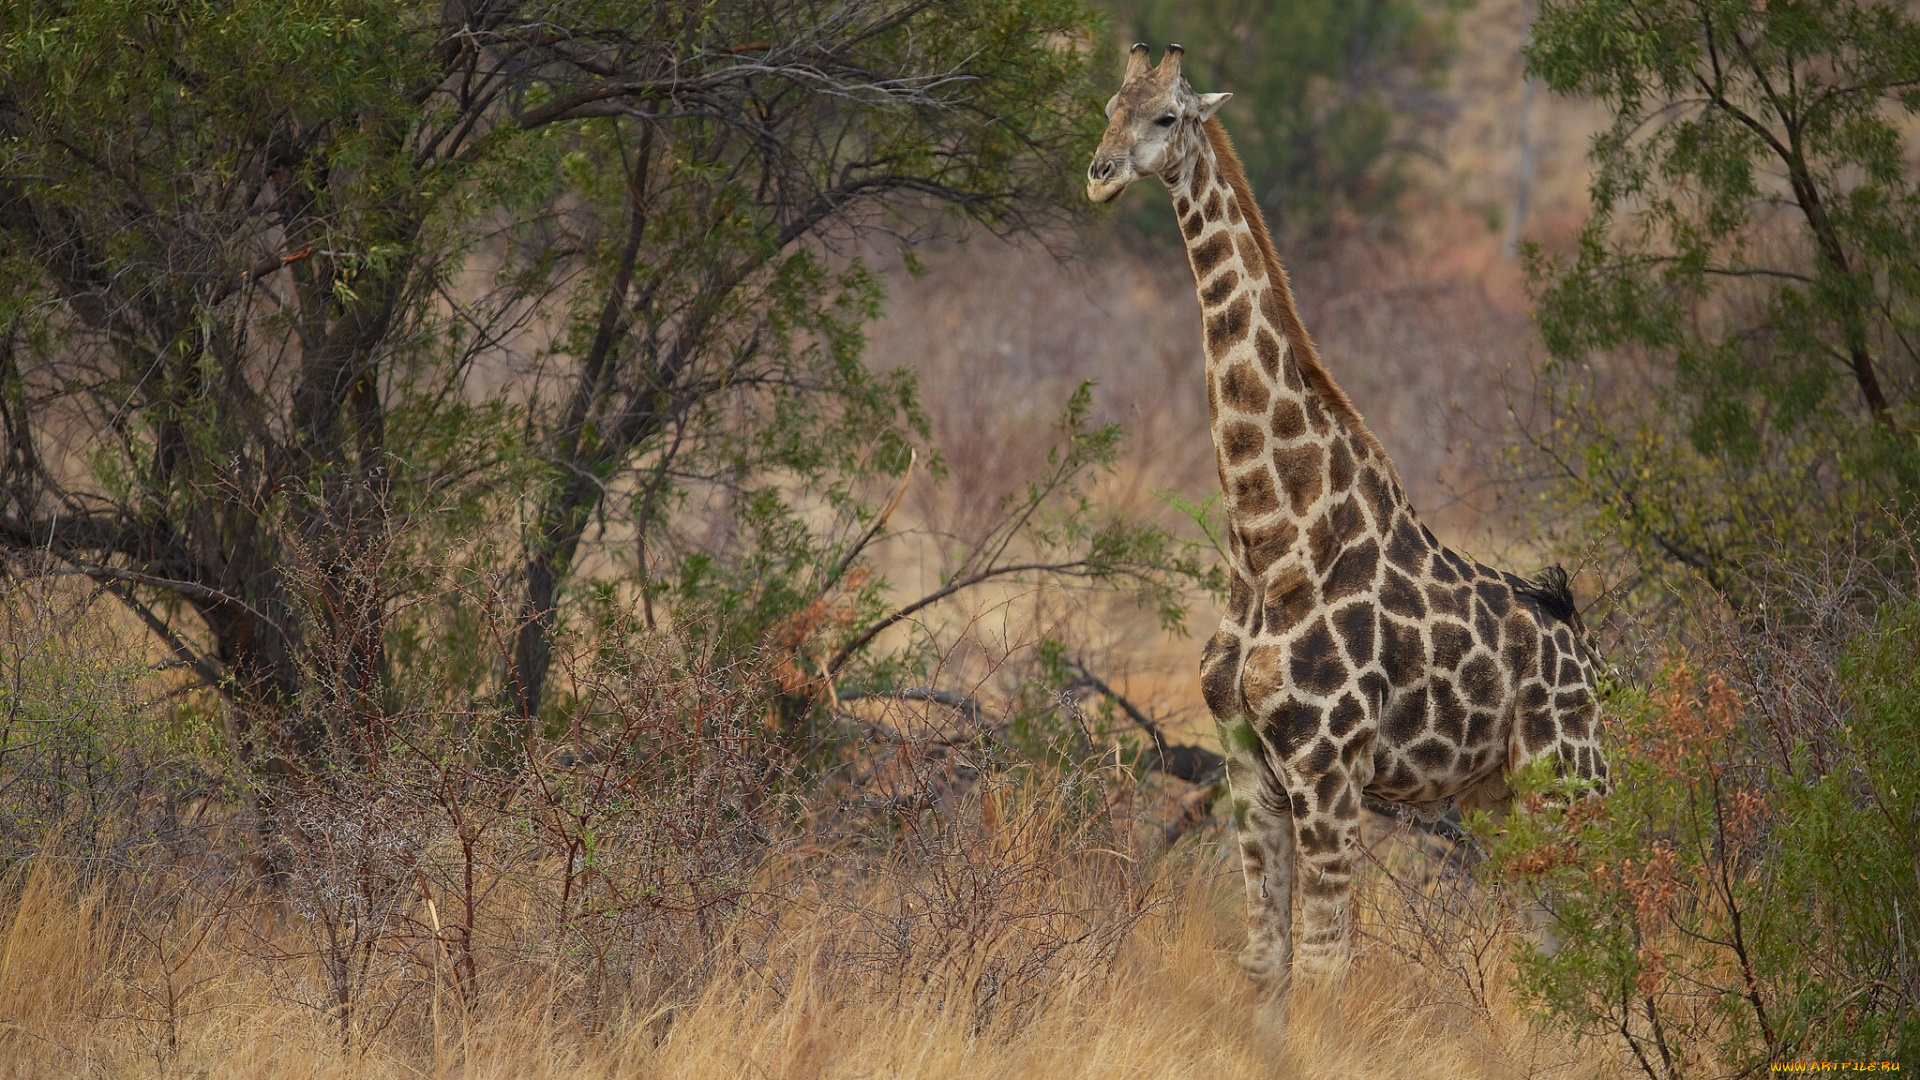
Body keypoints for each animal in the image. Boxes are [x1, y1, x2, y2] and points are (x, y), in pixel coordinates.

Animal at [1090, 44, 1612, 999]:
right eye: (1110, 104)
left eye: (1166, 116)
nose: (1100, 175)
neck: (1273, 541)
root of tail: (1596, 662)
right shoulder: (1248, 771)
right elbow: (1265, 963)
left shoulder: (1327, 771)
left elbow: (1328, 968)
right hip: (1503, 800)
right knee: (1549, 942)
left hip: (1572, 784)